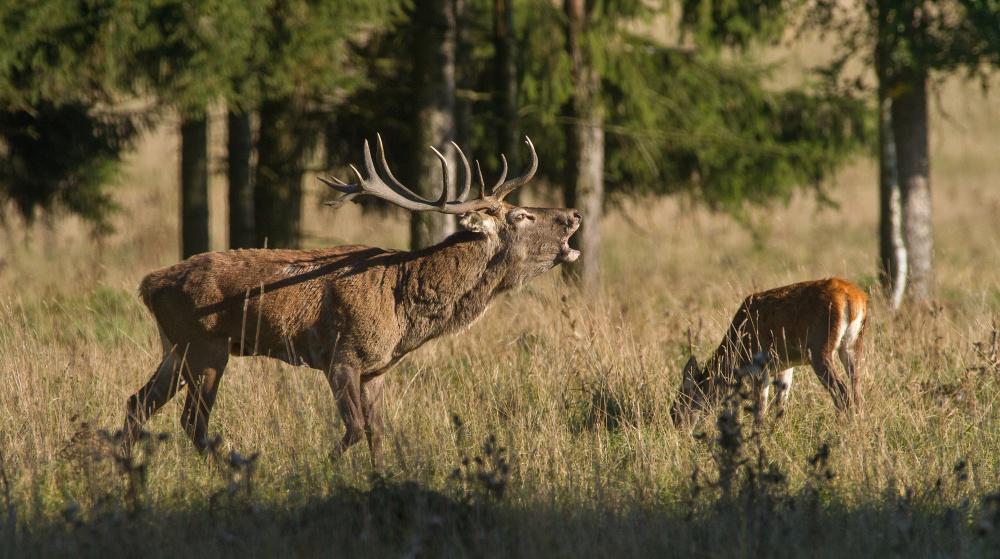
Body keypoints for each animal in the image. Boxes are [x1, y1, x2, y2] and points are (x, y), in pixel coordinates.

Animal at [122, 136, 584, 468]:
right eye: (520, 215)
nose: (574, 214)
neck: (404, 309)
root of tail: (148, 284)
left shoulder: (376, 369)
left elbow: (378, 433)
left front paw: (381, 480)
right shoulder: (341, 357)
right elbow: (356, 429)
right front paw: (320, 470)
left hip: (176, 348)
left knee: (136, 404)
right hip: (206, 348)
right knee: (192, 423)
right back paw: (235, 470)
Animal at [672, 278, 868, 426]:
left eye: (681, 402)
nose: (680, 427)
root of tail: (854, 298)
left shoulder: (760, 366)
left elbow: (760, 409)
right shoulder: (785, 365)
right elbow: (780, 402)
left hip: (819, 348)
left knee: (842, 391)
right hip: (853, 344)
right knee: (857, 389)